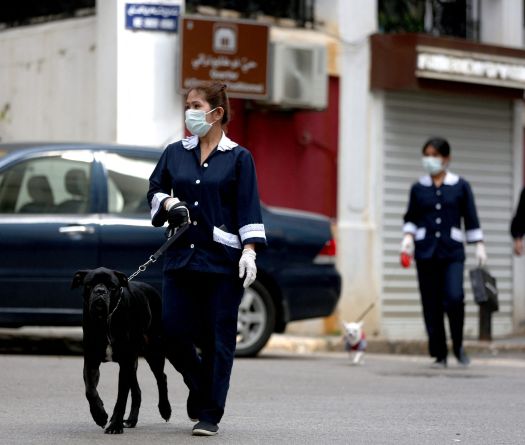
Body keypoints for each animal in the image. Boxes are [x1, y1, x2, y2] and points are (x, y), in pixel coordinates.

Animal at [70, 266, 170, 432]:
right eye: (89, 284)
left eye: (112, 286)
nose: (100, 291)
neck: (106, 319)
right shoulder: (91, 362)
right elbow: (90, 391)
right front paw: (100, 415)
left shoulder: (124, 364)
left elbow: (121, 397)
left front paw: (115, 425)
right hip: (133, 362)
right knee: (137, 390)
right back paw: (131, 420)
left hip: (153, 351)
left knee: (161, 378)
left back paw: (165, 409)